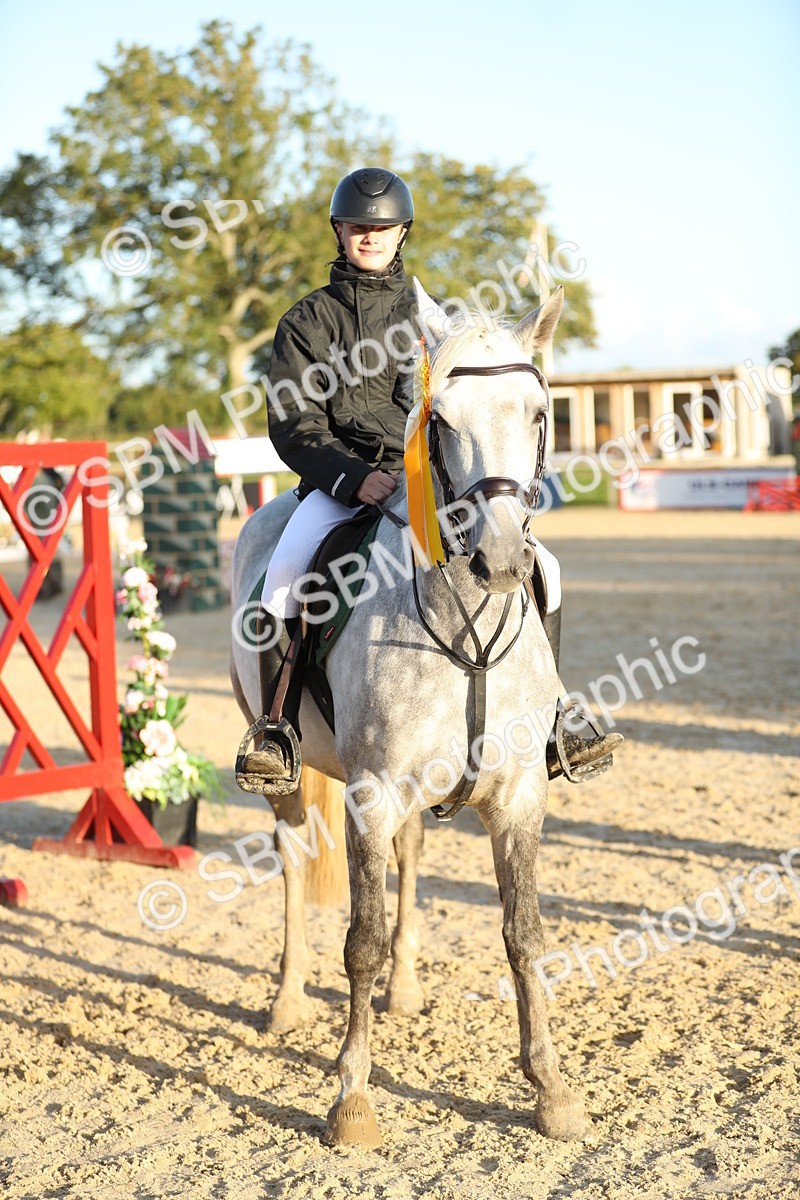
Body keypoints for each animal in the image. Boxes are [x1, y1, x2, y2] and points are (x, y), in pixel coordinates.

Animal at [229, 281, 591, 1148]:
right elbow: (357, 939)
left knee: (410, 855)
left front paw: (551, 1089)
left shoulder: (518, 797)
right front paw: (352, 1098)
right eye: (442, 419)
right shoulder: (368, 792)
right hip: (290, 780)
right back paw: (288, 1002)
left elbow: (524, 933)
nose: (501, 559)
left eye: (539, 412)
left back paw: (404, 988)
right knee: (293, 864)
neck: (466, 624)